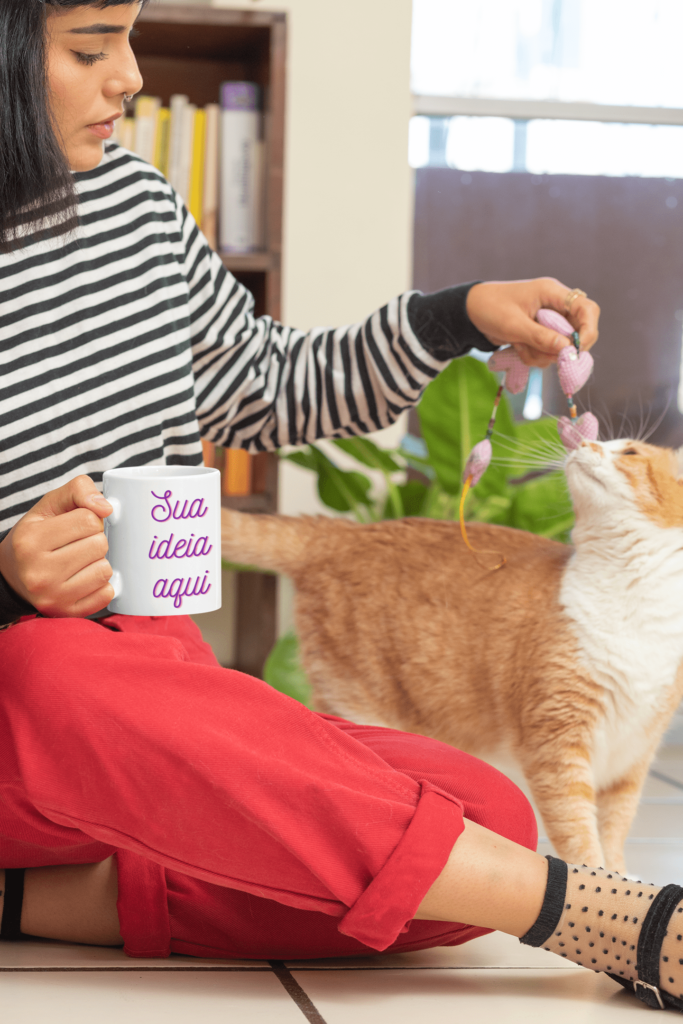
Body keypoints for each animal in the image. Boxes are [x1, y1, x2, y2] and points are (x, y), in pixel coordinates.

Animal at [220, 440, 683, 872]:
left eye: (629, 451)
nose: (583, 442)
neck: (634, 599)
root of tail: (347, 531)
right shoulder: (557, 744)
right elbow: (579, 834)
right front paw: (596, 882)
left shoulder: (633, 755)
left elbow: (615, 828)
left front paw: (624, 877)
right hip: (362, 705)